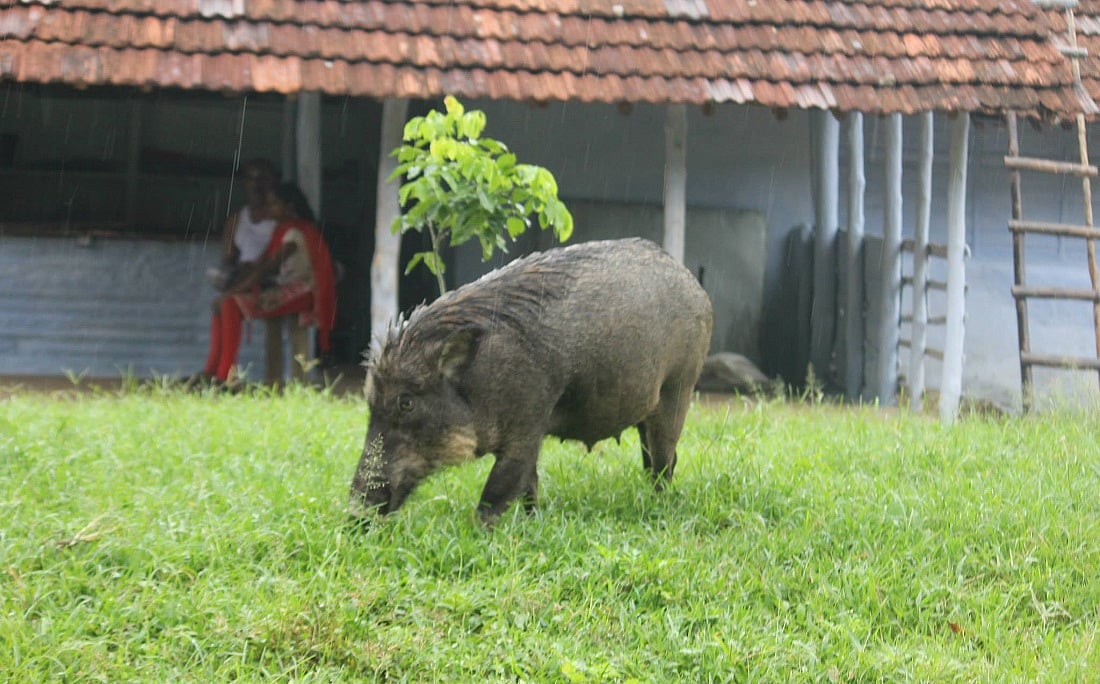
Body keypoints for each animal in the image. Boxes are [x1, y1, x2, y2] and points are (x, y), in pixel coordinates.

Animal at [349, 237, 713, 525]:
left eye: (406, 402)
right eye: (370, 402)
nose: (354, 516)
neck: (480, 378)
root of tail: (698, 289)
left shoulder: (527, 423)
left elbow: (498, 491)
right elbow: (529, 484)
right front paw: (532, 523)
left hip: (678, 388)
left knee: (664, 461)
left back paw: (658, 507)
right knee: (652, 459)